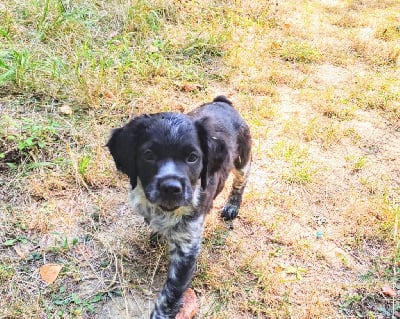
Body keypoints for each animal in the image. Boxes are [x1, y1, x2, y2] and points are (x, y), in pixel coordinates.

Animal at [106, 96, 250, 318]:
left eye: (192, 157)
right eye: (149, 155)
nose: (171, 188)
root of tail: (222, 102)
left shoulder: (187, 247)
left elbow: (170, 293)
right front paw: (157, 234)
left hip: (243, 160)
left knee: (240, 182)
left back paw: (232, 206)